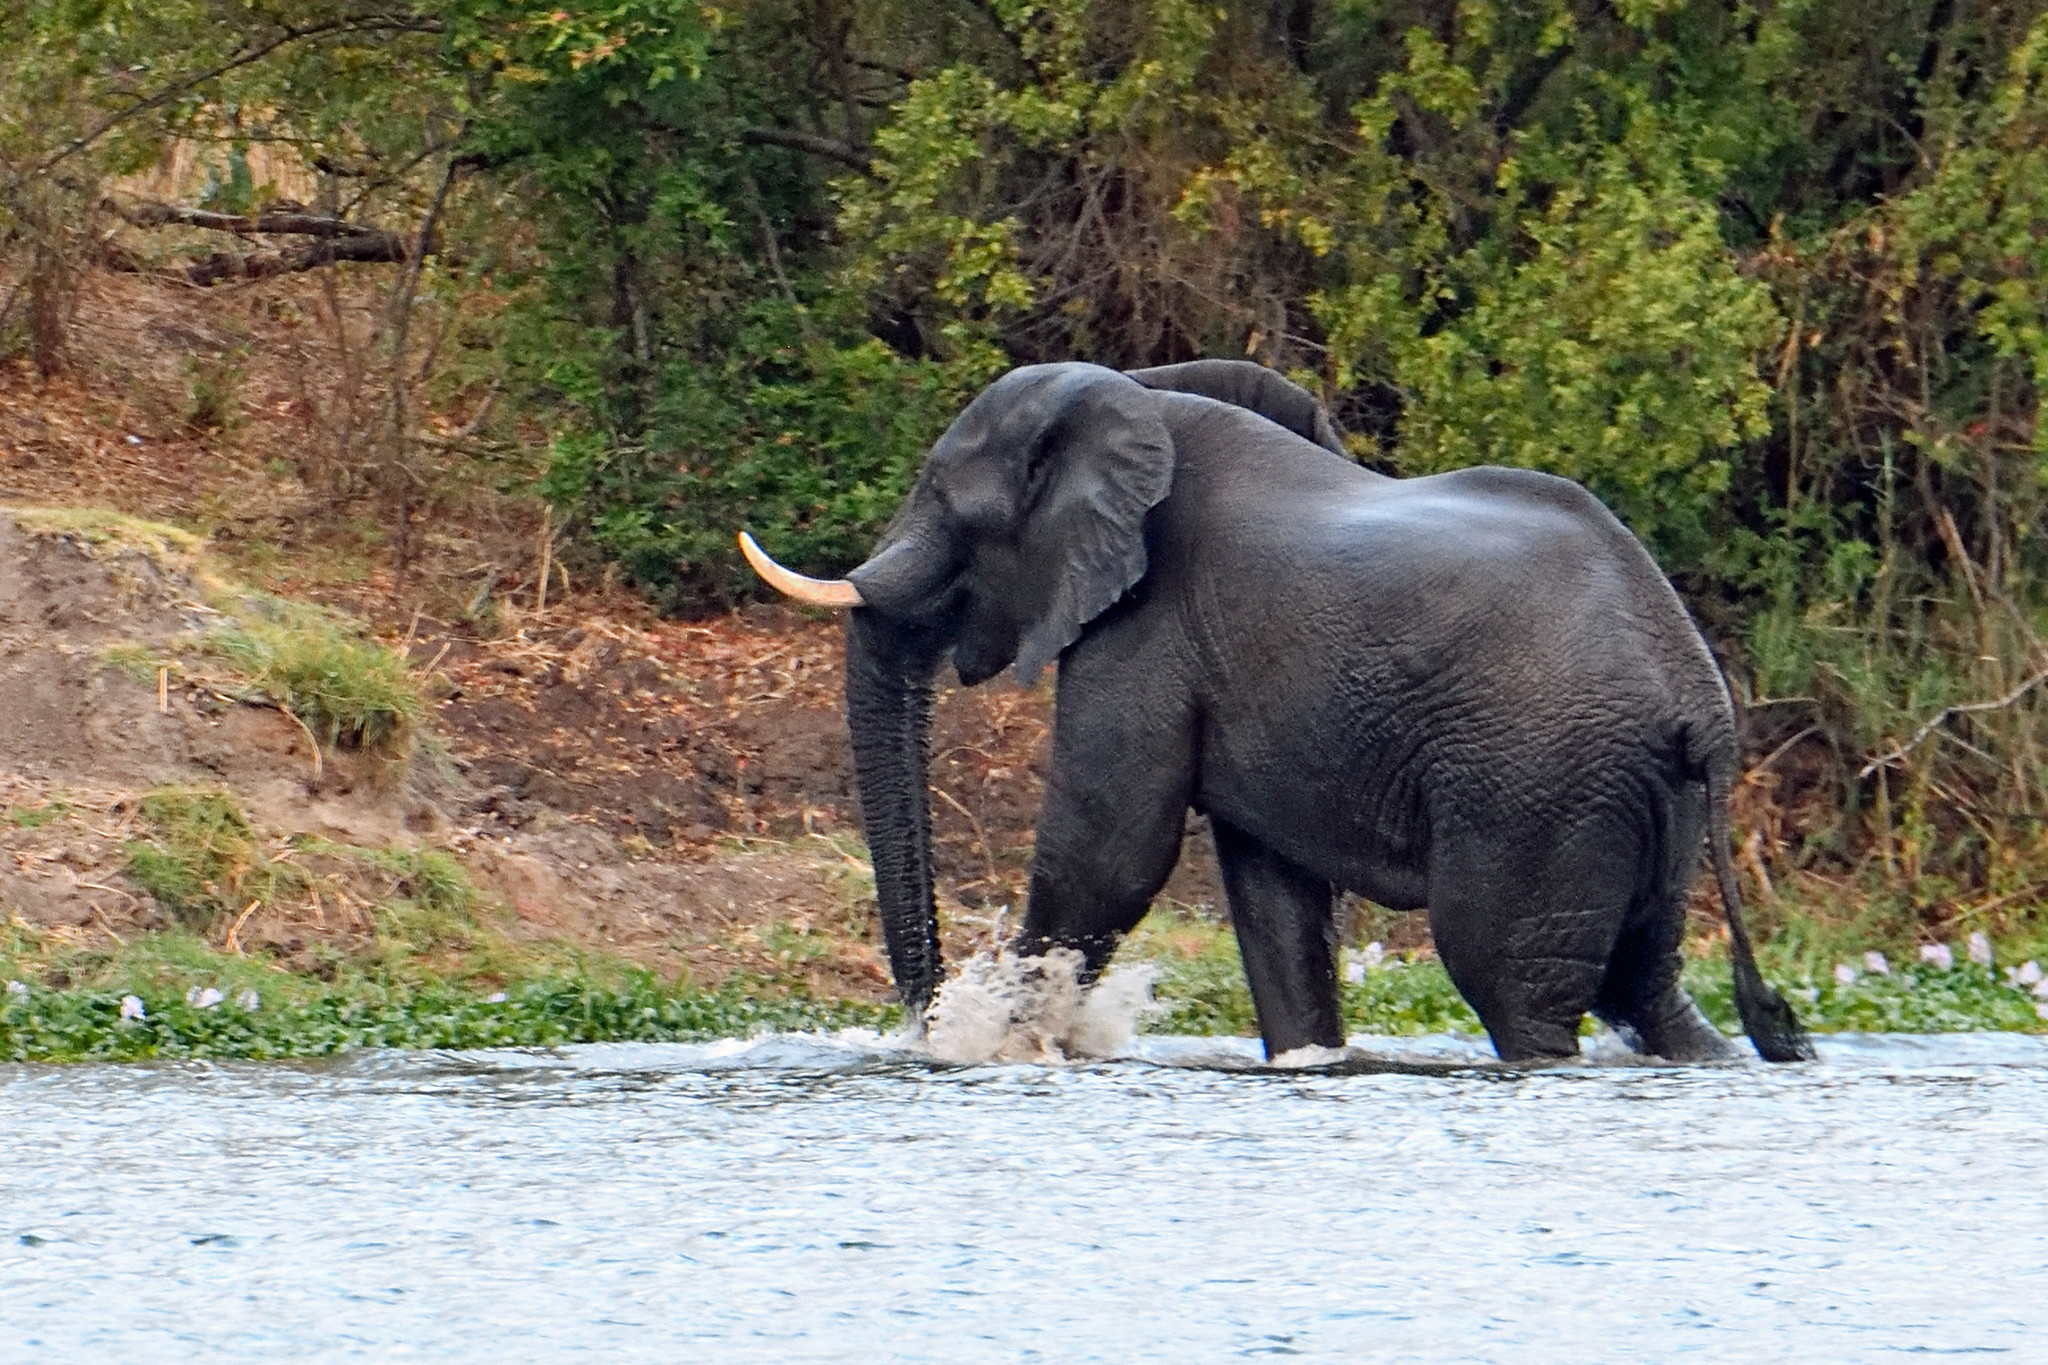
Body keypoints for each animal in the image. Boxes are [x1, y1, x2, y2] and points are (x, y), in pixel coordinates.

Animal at [737, 360, 1810, 1064]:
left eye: (945, 504)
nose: (924, 1026)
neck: (1138, 399)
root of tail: (1700, 703)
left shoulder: (1146, 624)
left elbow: (1110, 852)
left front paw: (998, 1039)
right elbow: (1273, 894)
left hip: (1543, 787)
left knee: (1510, 981)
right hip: (1639, 800)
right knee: (1648, 983)